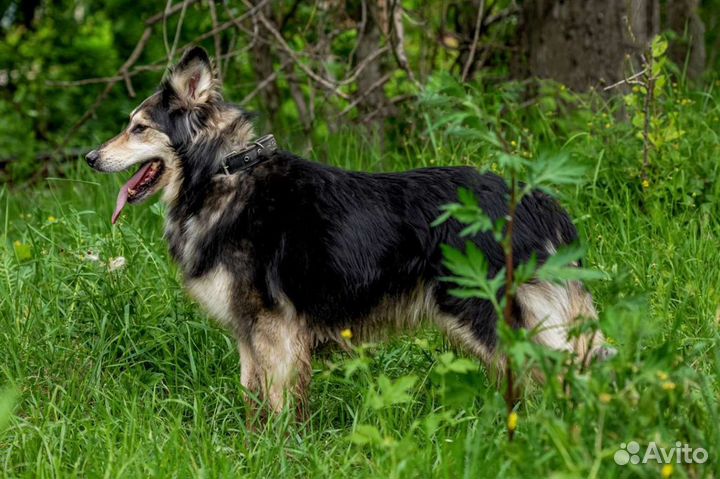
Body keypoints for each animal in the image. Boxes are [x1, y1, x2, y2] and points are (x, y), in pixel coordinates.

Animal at [86, 45, 612, 420]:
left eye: (138, 128)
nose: (90, 158)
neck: (221, 174)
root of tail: (534, 198)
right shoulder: (250, 336)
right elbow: (252, 403)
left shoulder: (276, 331)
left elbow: (278, 407)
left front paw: (279, 452)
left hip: (490, 313)